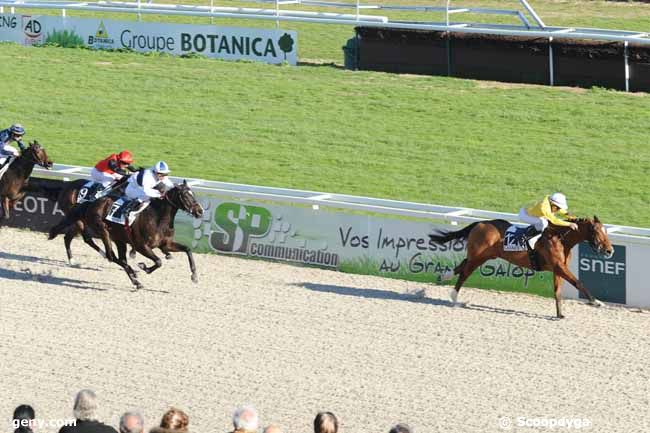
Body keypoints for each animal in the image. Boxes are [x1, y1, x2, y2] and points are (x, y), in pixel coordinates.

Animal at [49, 181, 202, 288]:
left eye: (193, 194)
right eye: (185, 195)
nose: (200, 211)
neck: (158, 218)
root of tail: (91, 202)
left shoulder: (166, 245)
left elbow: (187, 250)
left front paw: (194, 276)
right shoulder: (142, 246)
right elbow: (158, 261)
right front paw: (144, 267)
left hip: (119, 239)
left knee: (119, 258)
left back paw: (135, 280)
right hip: (102, 230)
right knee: (110, 256)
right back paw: (133, 274)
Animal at [428, 216, 612, 318]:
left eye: (606, 232)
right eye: (597, 232)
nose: (610, 250)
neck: (560, 238)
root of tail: (480, 223)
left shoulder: (558, 268)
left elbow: (557, 292)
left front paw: (559, 314)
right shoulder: (559, 267)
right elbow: (578, 283)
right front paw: (597, 302)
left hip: (483, 256)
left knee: (463, 265)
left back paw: (443, 276)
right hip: (479, 256)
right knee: (465, 272)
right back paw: (454, 297)